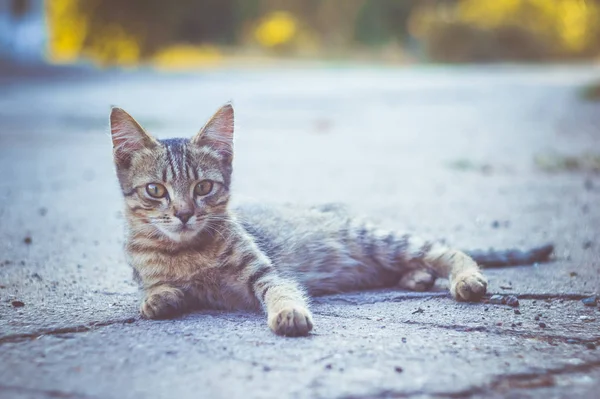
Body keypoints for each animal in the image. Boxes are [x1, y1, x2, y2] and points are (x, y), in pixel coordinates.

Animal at [109, 103, 552, 338]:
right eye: (156, 190)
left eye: (203, 187)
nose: (184, 214)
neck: (187, 249)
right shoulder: (151, 272)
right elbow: (156, 288)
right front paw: (158, 298)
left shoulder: (265, 272)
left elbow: (280, 289)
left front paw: (288, 312)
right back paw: (416, 278)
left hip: (378, 238)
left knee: (443, 249)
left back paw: (463, 278)